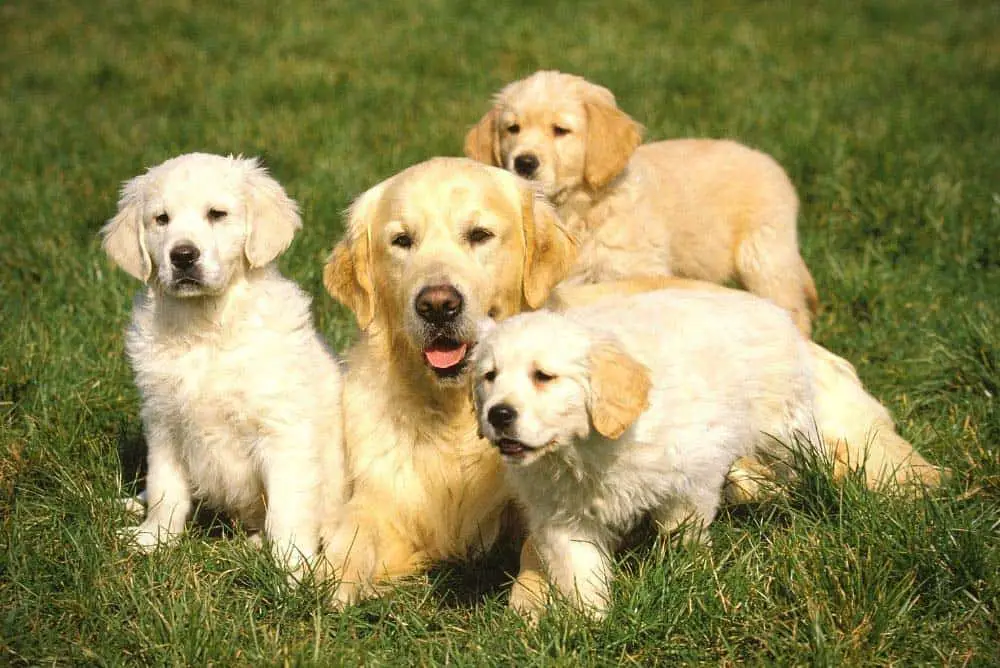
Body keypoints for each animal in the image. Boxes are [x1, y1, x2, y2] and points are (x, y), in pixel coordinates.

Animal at [101, 153, 344, 576]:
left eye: (217, 214)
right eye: (161, 219)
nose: (183, 256)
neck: (205, 327)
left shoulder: (283, 432)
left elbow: (287, 510)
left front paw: (291, 571)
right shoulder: (164, 423)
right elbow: (165, 488)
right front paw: (152, 540)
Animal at [320, 157, 580, 604]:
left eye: (479, 235)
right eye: (402, 240)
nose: (437, 305)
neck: (455, 412)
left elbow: (541, 545)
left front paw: (534, 601)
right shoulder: (382, 498)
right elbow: (353, 532)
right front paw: (334, 578)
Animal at [464, 70, 816, 336]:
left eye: (560, 130)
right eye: (512, 129)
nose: (524, 162)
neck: (579, 209)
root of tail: (772, 165)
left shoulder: (632, 271)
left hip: (765, 259)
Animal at [472, 290, 940, 620]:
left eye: (543, 376)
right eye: (489, 377)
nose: (498, 415)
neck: (583, 450)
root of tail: (767, 307)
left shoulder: (690, 474)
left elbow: (683, 532)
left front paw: (687, 576)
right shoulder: (563, 516)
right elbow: (580, 573)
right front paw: (592, 624)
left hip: (784, 429)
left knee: (805, 463)